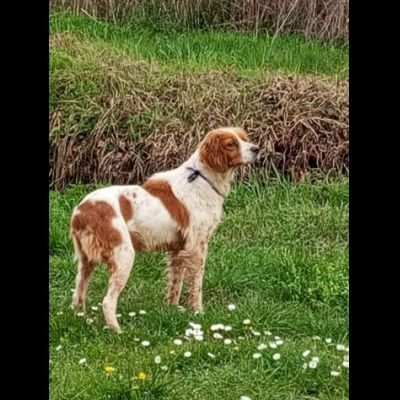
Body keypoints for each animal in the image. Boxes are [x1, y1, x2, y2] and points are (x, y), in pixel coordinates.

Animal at [70, 127, 260, 332]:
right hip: (124, 255)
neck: (202, 179)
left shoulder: (178, 249)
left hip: (86, 262)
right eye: (231, 144)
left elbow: (175, 284)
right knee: (107, 301)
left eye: (244, 138)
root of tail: (81, 211)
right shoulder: (197, 246)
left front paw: (173, 310)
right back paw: (117, 331)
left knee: (78, 293)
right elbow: (196, 284)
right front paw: (198, 312)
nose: (257, 149)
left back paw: (81, 320)